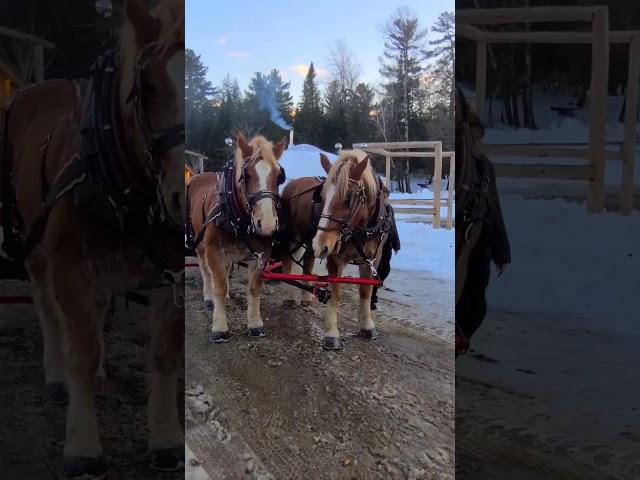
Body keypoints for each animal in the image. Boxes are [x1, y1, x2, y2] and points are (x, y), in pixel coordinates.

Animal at [4, 0, 185, 476]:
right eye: (146, 86)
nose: (180, 199)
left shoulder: (171, 271)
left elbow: (165, 352)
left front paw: (166, 437)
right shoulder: (70, 265)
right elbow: (80, 354)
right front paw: (83, 446)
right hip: (35, 249)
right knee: (51, 313)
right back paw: (56, 375)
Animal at [185, 135, 284, 344]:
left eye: (279, 176)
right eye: (246, 175)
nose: (268, 225)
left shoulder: (261, 254)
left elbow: (254, 288)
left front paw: (255, 324)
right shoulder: (214, 251)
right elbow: (219, 287)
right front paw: (219, 328)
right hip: (200, 244)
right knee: (206, 271)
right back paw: (209, 297)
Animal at [282, 149, 390, 348]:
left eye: (348, 199)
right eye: (322, 197)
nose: (321, 244)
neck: (361, 229)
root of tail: (292, 184)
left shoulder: (372, 259)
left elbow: (366, 291)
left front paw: (367, 326)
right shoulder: (334, 258)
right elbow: (336, 294)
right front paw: (331, 334)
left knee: (308, 264)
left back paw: (306, 297)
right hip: (293, 237)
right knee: (287, 264)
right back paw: (290, 296)